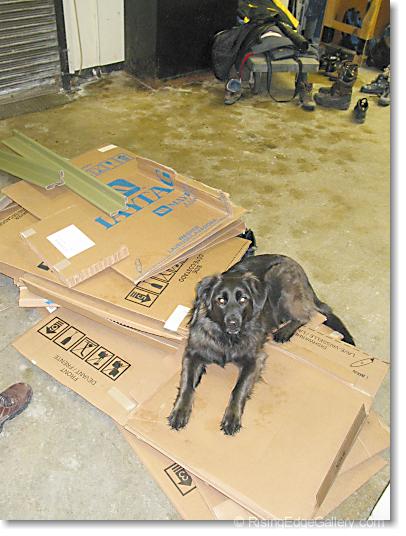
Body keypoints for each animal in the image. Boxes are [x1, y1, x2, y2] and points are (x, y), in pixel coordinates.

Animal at [168, 254, 355, 436]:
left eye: (243, 299)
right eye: (220, 300)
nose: (233, 323)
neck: (227, 339)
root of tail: (296, 265)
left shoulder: (254, 360)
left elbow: (238, 389)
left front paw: (232, 417)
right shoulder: (192, 354)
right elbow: (187, 385)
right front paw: (180, 411)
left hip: (278, 279)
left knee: (305, 315)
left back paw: (284, 331)